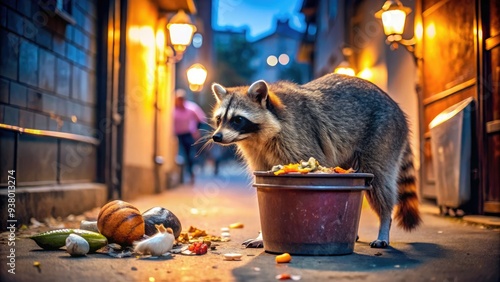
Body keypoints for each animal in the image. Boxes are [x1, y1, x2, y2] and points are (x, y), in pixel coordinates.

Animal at [210, 74, 422, 248]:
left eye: (238, 119)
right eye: (219, 119)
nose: (216, 137)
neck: (256, 138)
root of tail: (396, 107)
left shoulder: (297, 136)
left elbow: (313, 164)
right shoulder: (259, 154)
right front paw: (262, 235)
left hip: (383, 134)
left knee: (379, 181)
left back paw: (384, 221)